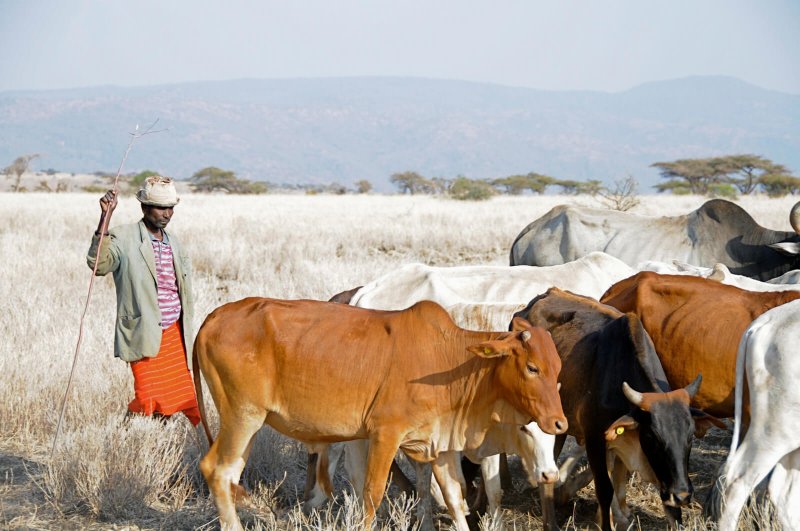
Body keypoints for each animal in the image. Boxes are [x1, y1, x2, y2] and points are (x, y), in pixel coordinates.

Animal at [192, 298, 568, 528]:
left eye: (558, 369)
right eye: (532, 368)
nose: (559, 422)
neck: (449, 357)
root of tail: (213, 318)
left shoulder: (440, 446)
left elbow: (455, 499)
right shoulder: (385, 435)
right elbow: (371, 496)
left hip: (248, 427)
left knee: (230, 476)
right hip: (242, 417)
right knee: (216, 471)